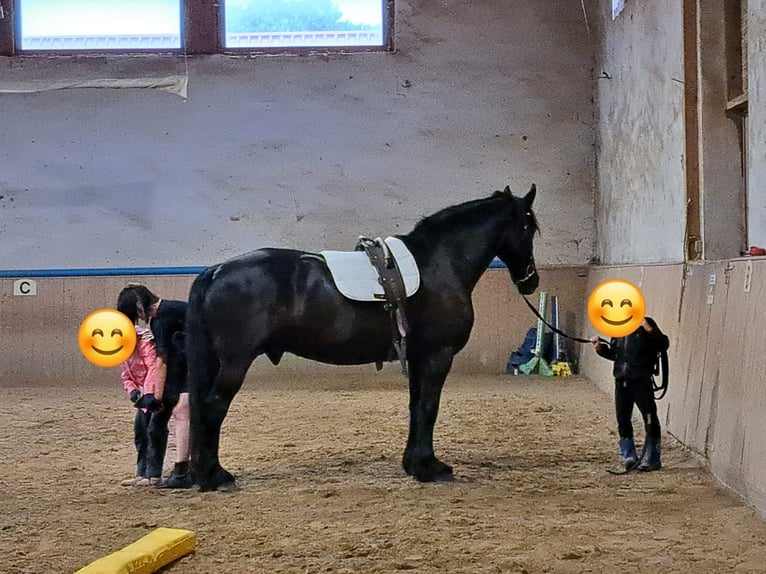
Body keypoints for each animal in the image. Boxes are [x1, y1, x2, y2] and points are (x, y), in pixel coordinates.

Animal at [186, 184, 539, 491]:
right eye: (528, 228)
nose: (531, 281)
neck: (439, 263)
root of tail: (216, 271)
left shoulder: (418, 357)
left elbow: (416, 406)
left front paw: (415, 464)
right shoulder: (438, 355)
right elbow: (429, 407)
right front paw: (430, 468)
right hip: (235, 362)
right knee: (214, 406)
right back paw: (217, 476)